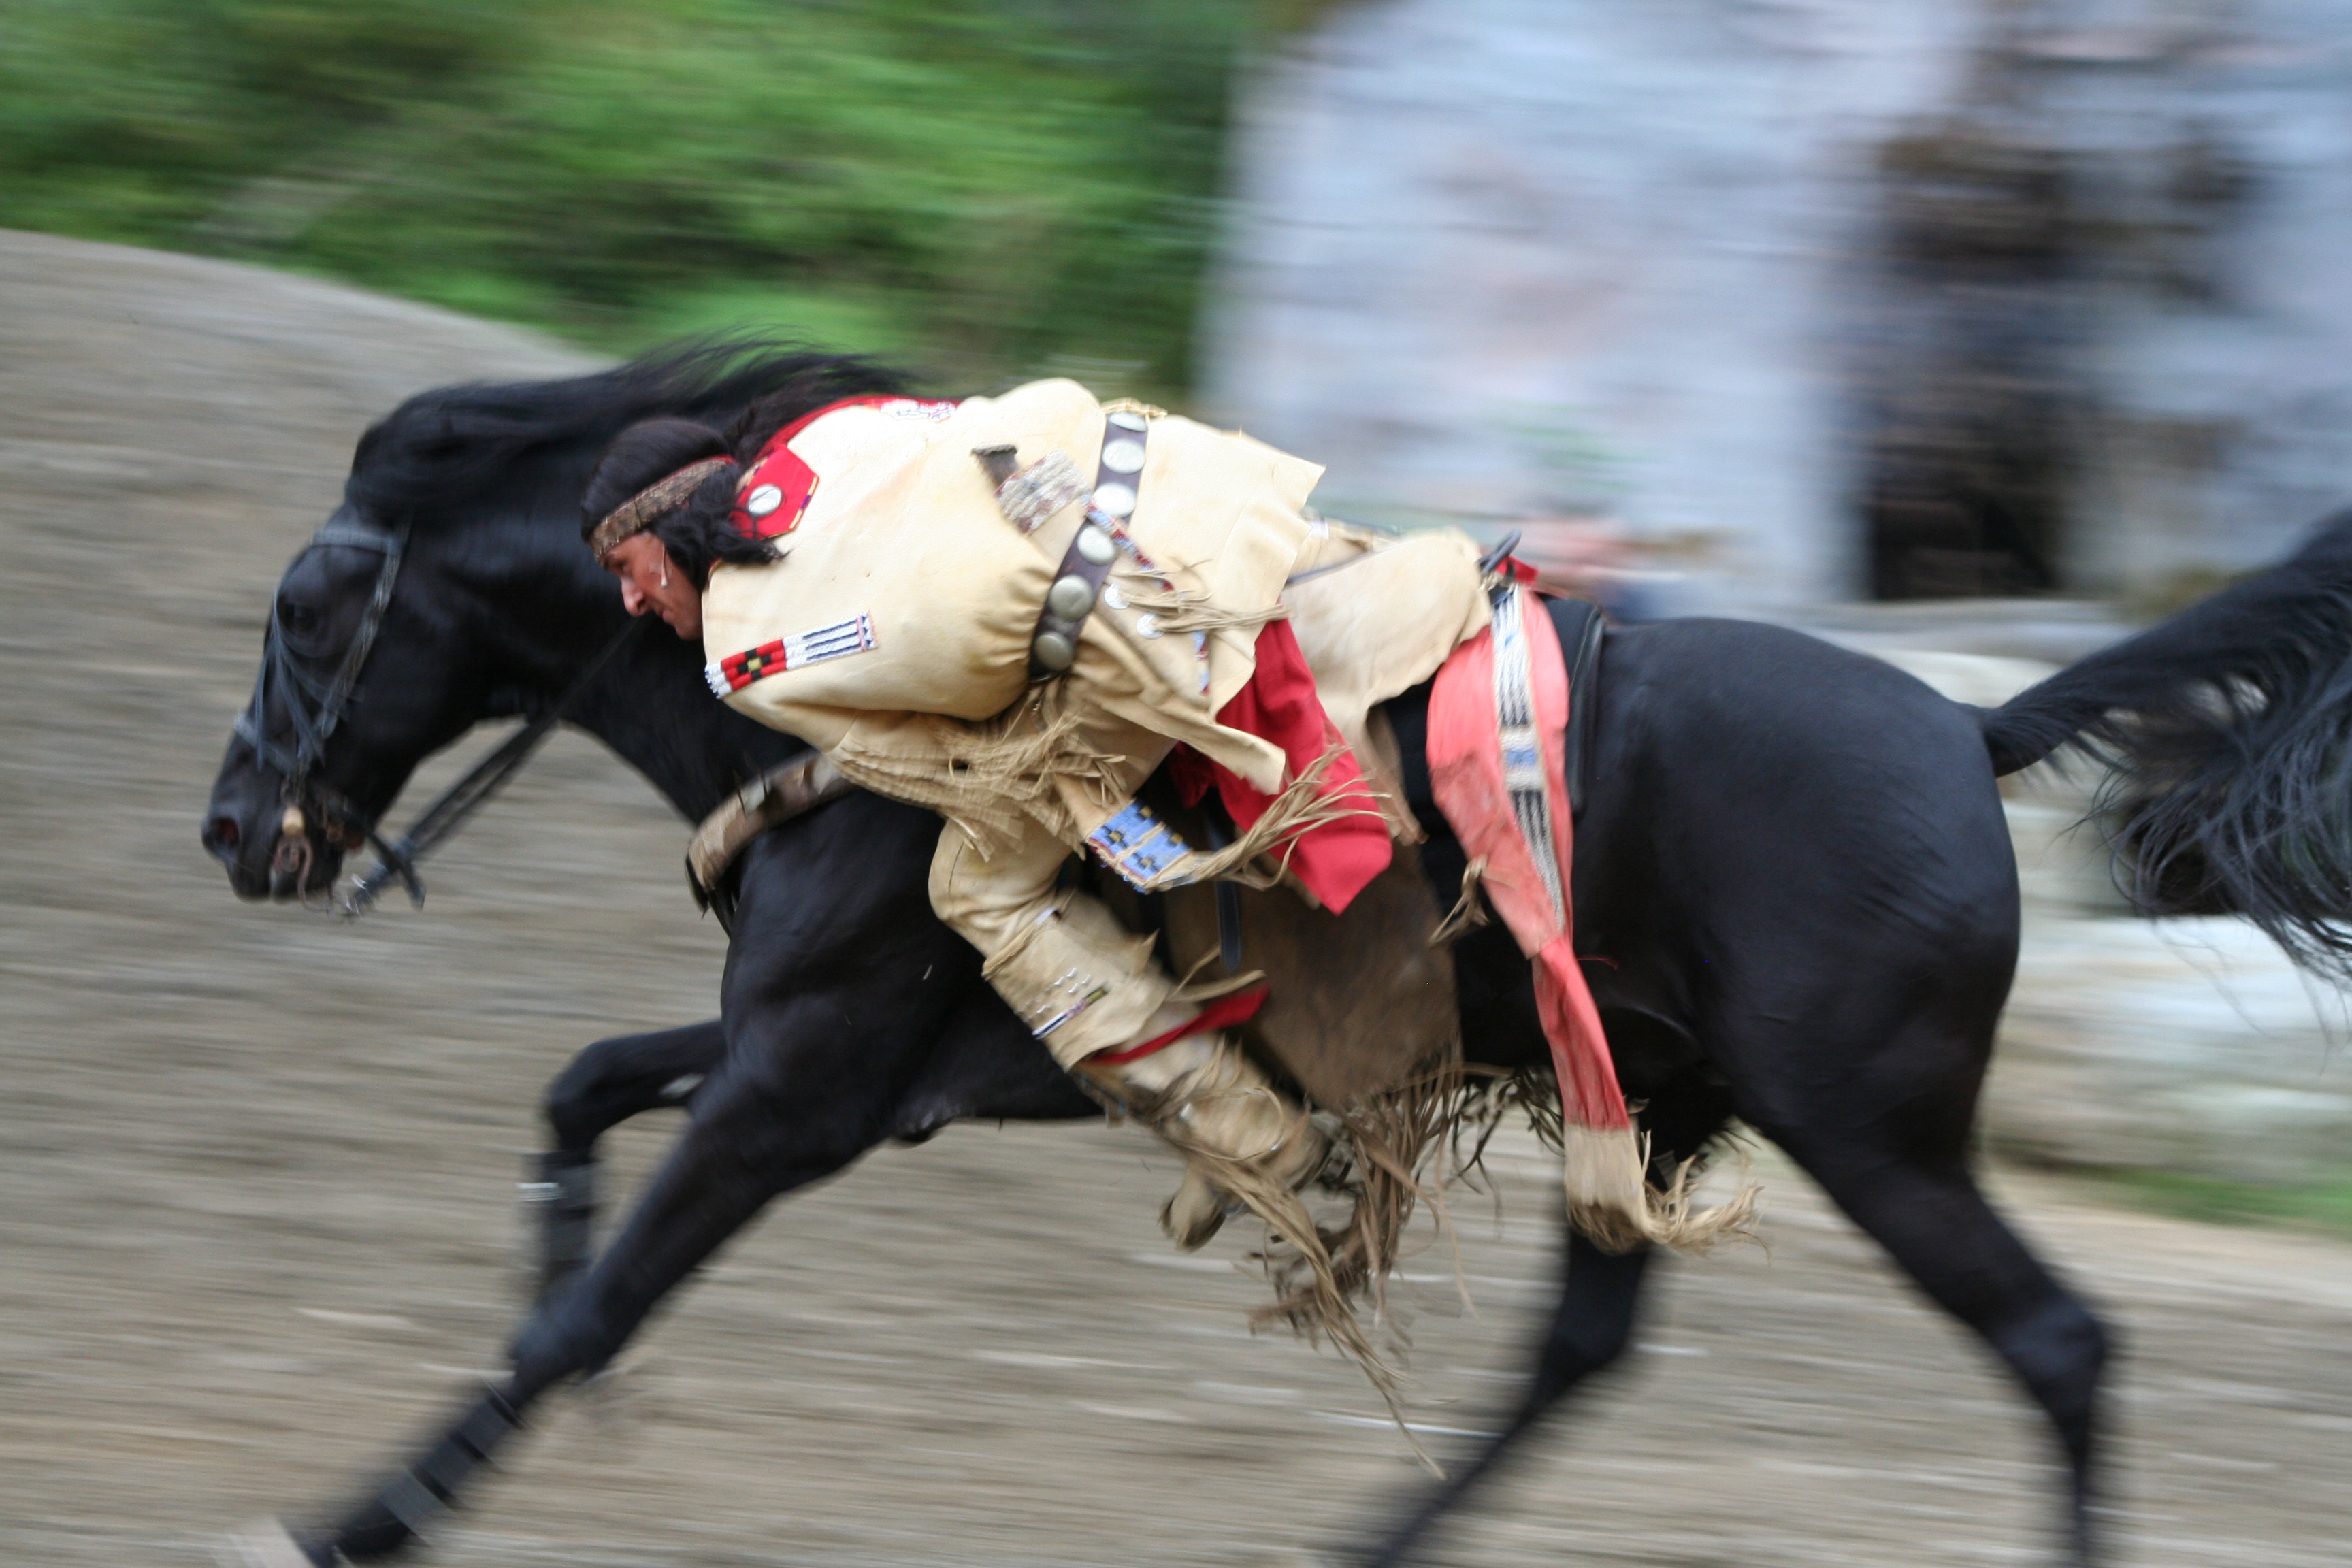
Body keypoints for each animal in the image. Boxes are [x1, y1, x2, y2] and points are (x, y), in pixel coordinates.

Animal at [202, 345, 2352, 1568]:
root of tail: (1968, 731)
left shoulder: (804, 1088)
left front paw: (356, 1519)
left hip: (1875, 1130)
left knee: (2058, 1348)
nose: (235, 829)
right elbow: (578, 1099)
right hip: (1650, 1101)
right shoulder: (829, 1063)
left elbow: (584, 1319)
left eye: (309, 603)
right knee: (1582, 1355)